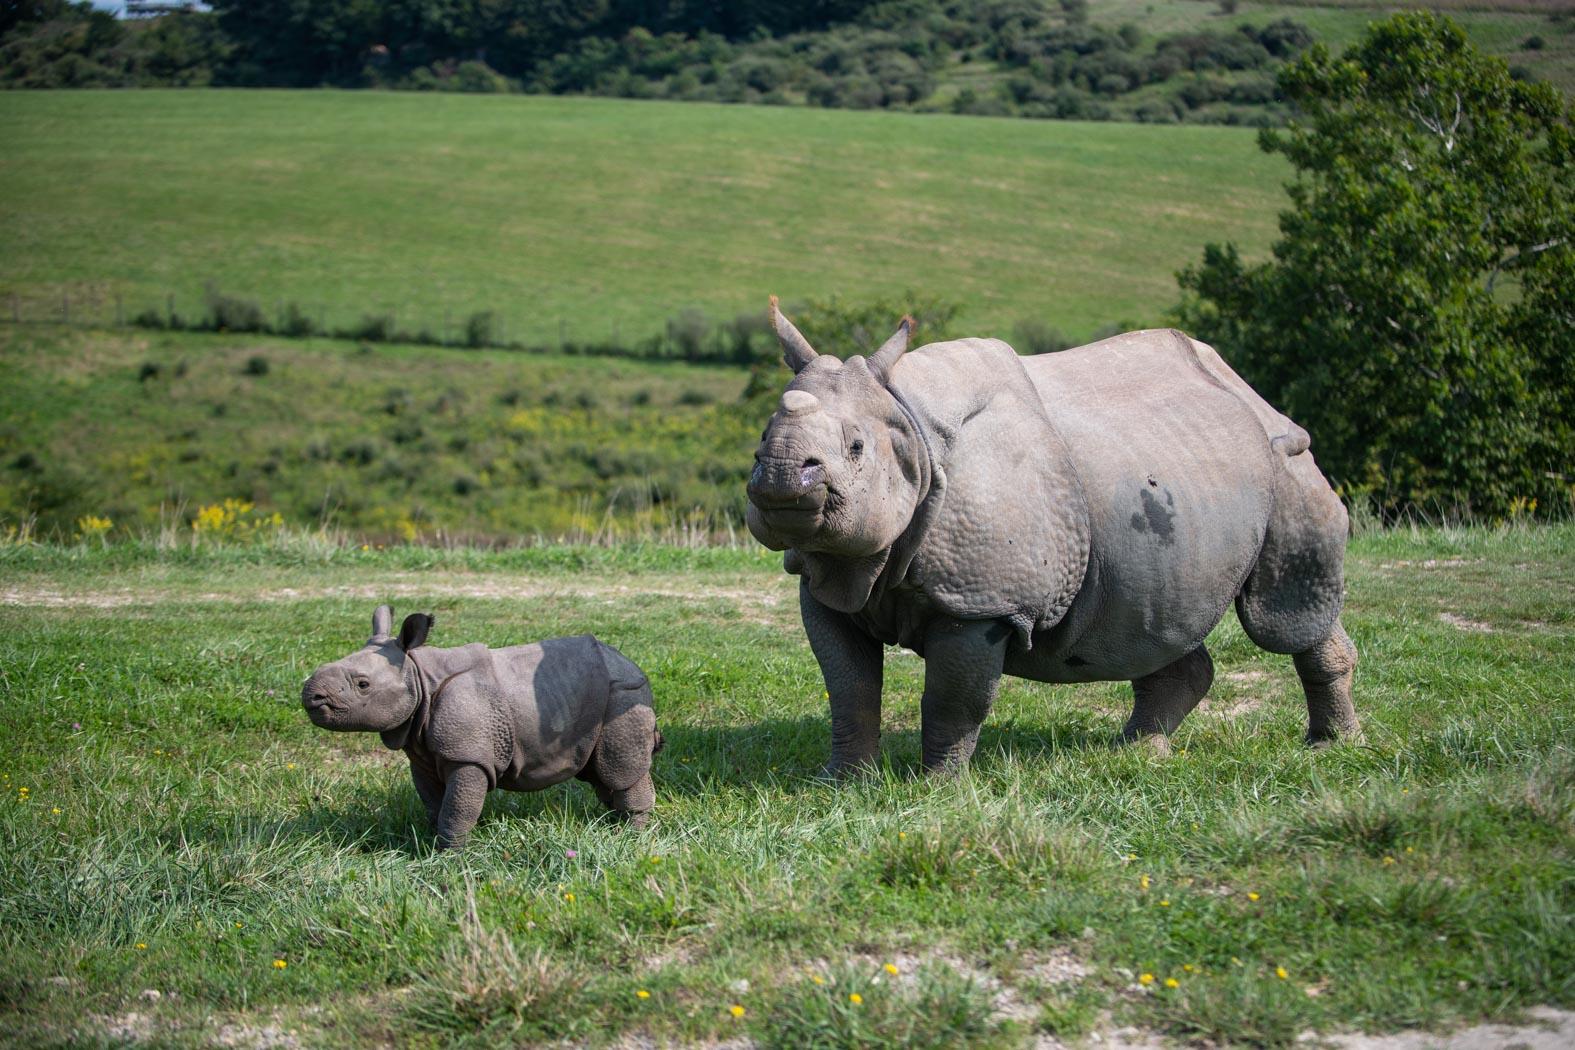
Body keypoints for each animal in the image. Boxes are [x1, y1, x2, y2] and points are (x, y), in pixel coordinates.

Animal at [302, 606, 661, 846]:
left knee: (618, 768)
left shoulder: (468, 755)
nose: (311, 695)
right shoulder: (422, 753)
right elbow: (434, 803)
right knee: (599, 772)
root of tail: (631, 662)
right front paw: (431, 845)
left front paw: (449, 855)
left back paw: (630, 835)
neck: (419, 676)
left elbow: (457, 807)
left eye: (363, 685)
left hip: (623, 692)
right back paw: (610, 824)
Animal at [746, 298, 1358, 776]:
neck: (907, 426)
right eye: (760, 442)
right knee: (1154, 615)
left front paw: (935, 790)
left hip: (1285, 459)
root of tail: (1244, 388)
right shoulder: (831, 579)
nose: (781, 476)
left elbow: (952, 700)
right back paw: (1138, 754)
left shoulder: (983, 602)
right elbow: (849, 690)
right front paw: (843, 782)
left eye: (856, 448)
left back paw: (1332, 748)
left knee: (1283, 617)